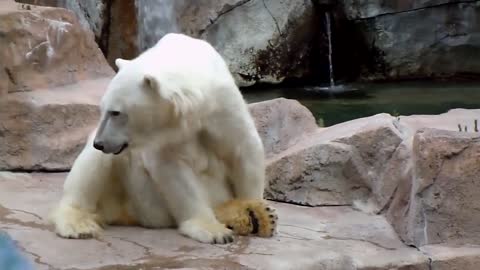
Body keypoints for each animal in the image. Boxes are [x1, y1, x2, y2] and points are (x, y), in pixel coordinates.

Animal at [49, 32, 278, 244]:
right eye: (102, 109)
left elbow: (244, 150)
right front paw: (213, 231)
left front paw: (256, 211)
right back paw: (78, 224)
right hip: (138, 194)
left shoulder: (222, 107)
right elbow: (173, 172)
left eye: (116, 112)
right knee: (92, 166)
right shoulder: (162, 139)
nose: (100, 143)